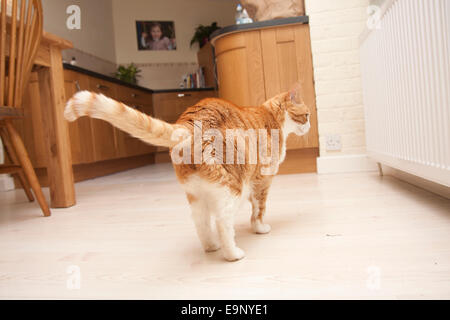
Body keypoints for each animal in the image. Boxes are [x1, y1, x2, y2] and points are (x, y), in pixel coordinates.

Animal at [65, 84, 312, 262]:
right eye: (307, 115)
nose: (310, 126)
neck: (272, 118)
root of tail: (189, 123)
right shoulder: (262, 181)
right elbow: (259, 210)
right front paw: (260, 228)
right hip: (231, 188)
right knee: (222, 221)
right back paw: (232, 253)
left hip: (197, 193)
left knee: (200, 222)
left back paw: (211, 246)